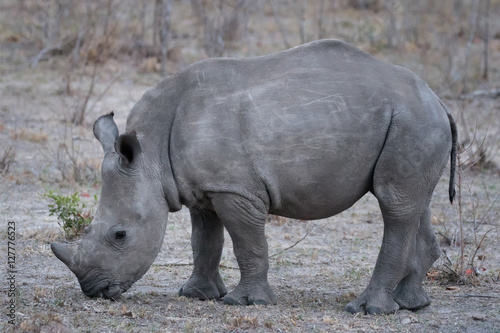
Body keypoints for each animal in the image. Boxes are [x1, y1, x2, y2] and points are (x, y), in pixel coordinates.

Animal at [51, 39, 458, 314]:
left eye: (120, 235)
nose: (93, 290)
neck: (148, 154)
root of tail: (438, 100)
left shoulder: (236, 191)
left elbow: (247, 244)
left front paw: (245, 302)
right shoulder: (205, 188)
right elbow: (205, 240)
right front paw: (197, 295)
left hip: (412, 121)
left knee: (394, 204)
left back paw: (368, 310)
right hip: (415, 122)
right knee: (412, 202)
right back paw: (411, 305)